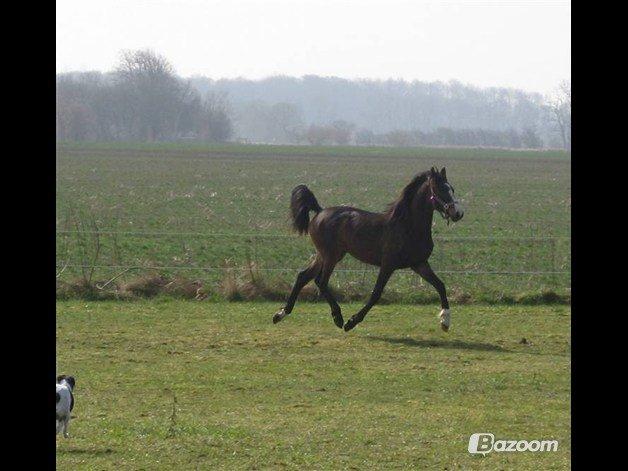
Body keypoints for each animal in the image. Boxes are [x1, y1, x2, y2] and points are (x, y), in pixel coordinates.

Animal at [272, 168, 464, 334]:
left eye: (452, 189)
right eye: (440, 189)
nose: (458, 213)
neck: (408, 227)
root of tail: (319, 211)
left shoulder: (419, 263)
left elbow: (440, 285)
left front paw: (445, 322)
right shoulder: (388, 265)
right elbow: (375, 294)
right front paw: (351, 322)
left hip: (324, 255)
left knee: (303, 276)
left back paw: (280, 314)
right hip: (331, 255)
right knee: (321, 281)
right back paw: (338, 318)